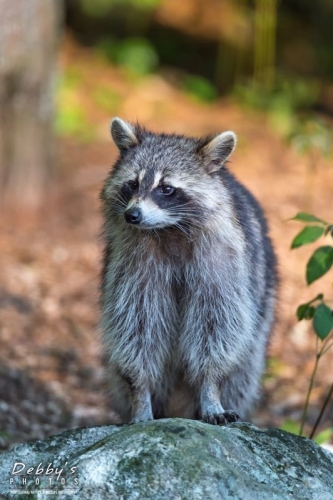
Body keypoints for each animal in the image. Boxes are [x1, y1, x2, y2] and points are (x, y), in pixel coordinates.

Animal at [100, 118, 276, 426]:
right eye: (132, 184)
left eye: (166, 188)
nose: (132, 215)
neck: (169, 228)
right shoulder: (132, 263)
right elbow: (136, 326)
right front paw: (140, 394)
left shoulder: (224, 262)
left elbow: (217, 325)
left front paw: (210, 390)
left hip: (261, 311)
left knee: (243, 374)